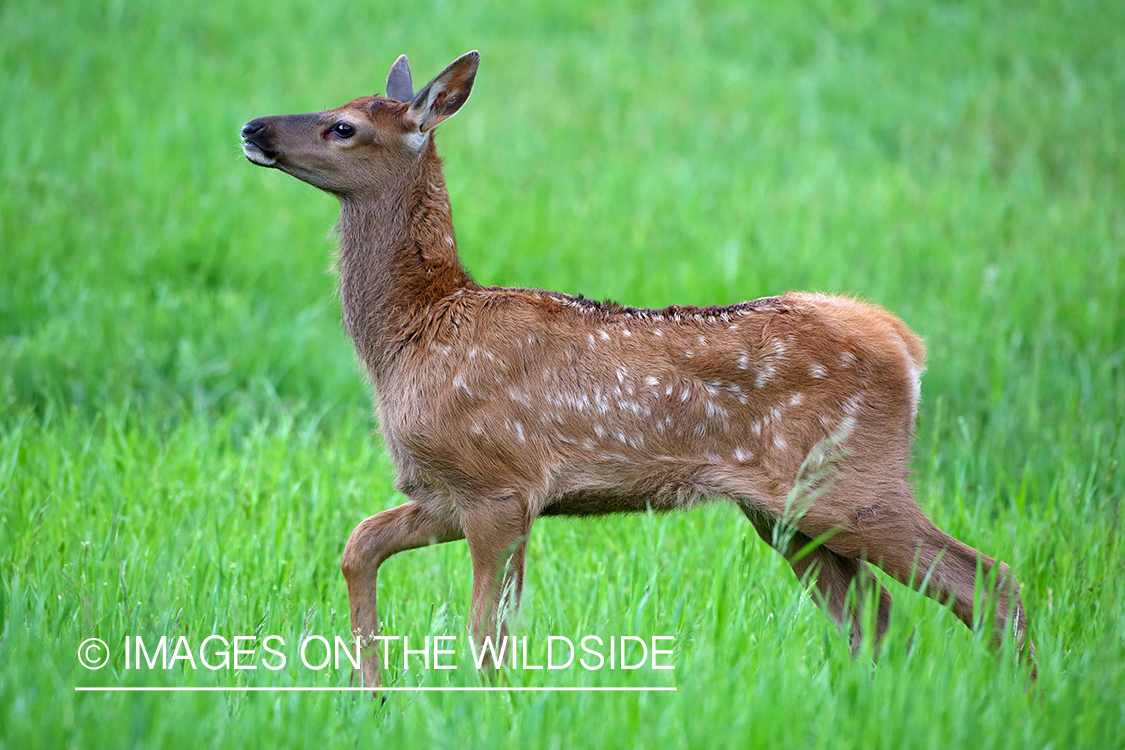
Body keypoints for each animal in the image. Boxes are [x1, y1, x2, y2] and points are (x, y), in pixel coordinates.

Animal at [239, 49, 1035, 688]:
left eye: (343, 126)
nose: (252, 129)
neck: (415, 332)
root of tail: (905, 345)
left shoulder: (499, 482)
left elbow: (487, 634)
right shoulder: (445, 488)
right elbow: (359, 546)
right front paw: (370, 695)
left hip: (850, 482)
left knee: (985, 580)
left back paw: (1021, 697)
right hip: (787, 513)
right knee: (878, 617)